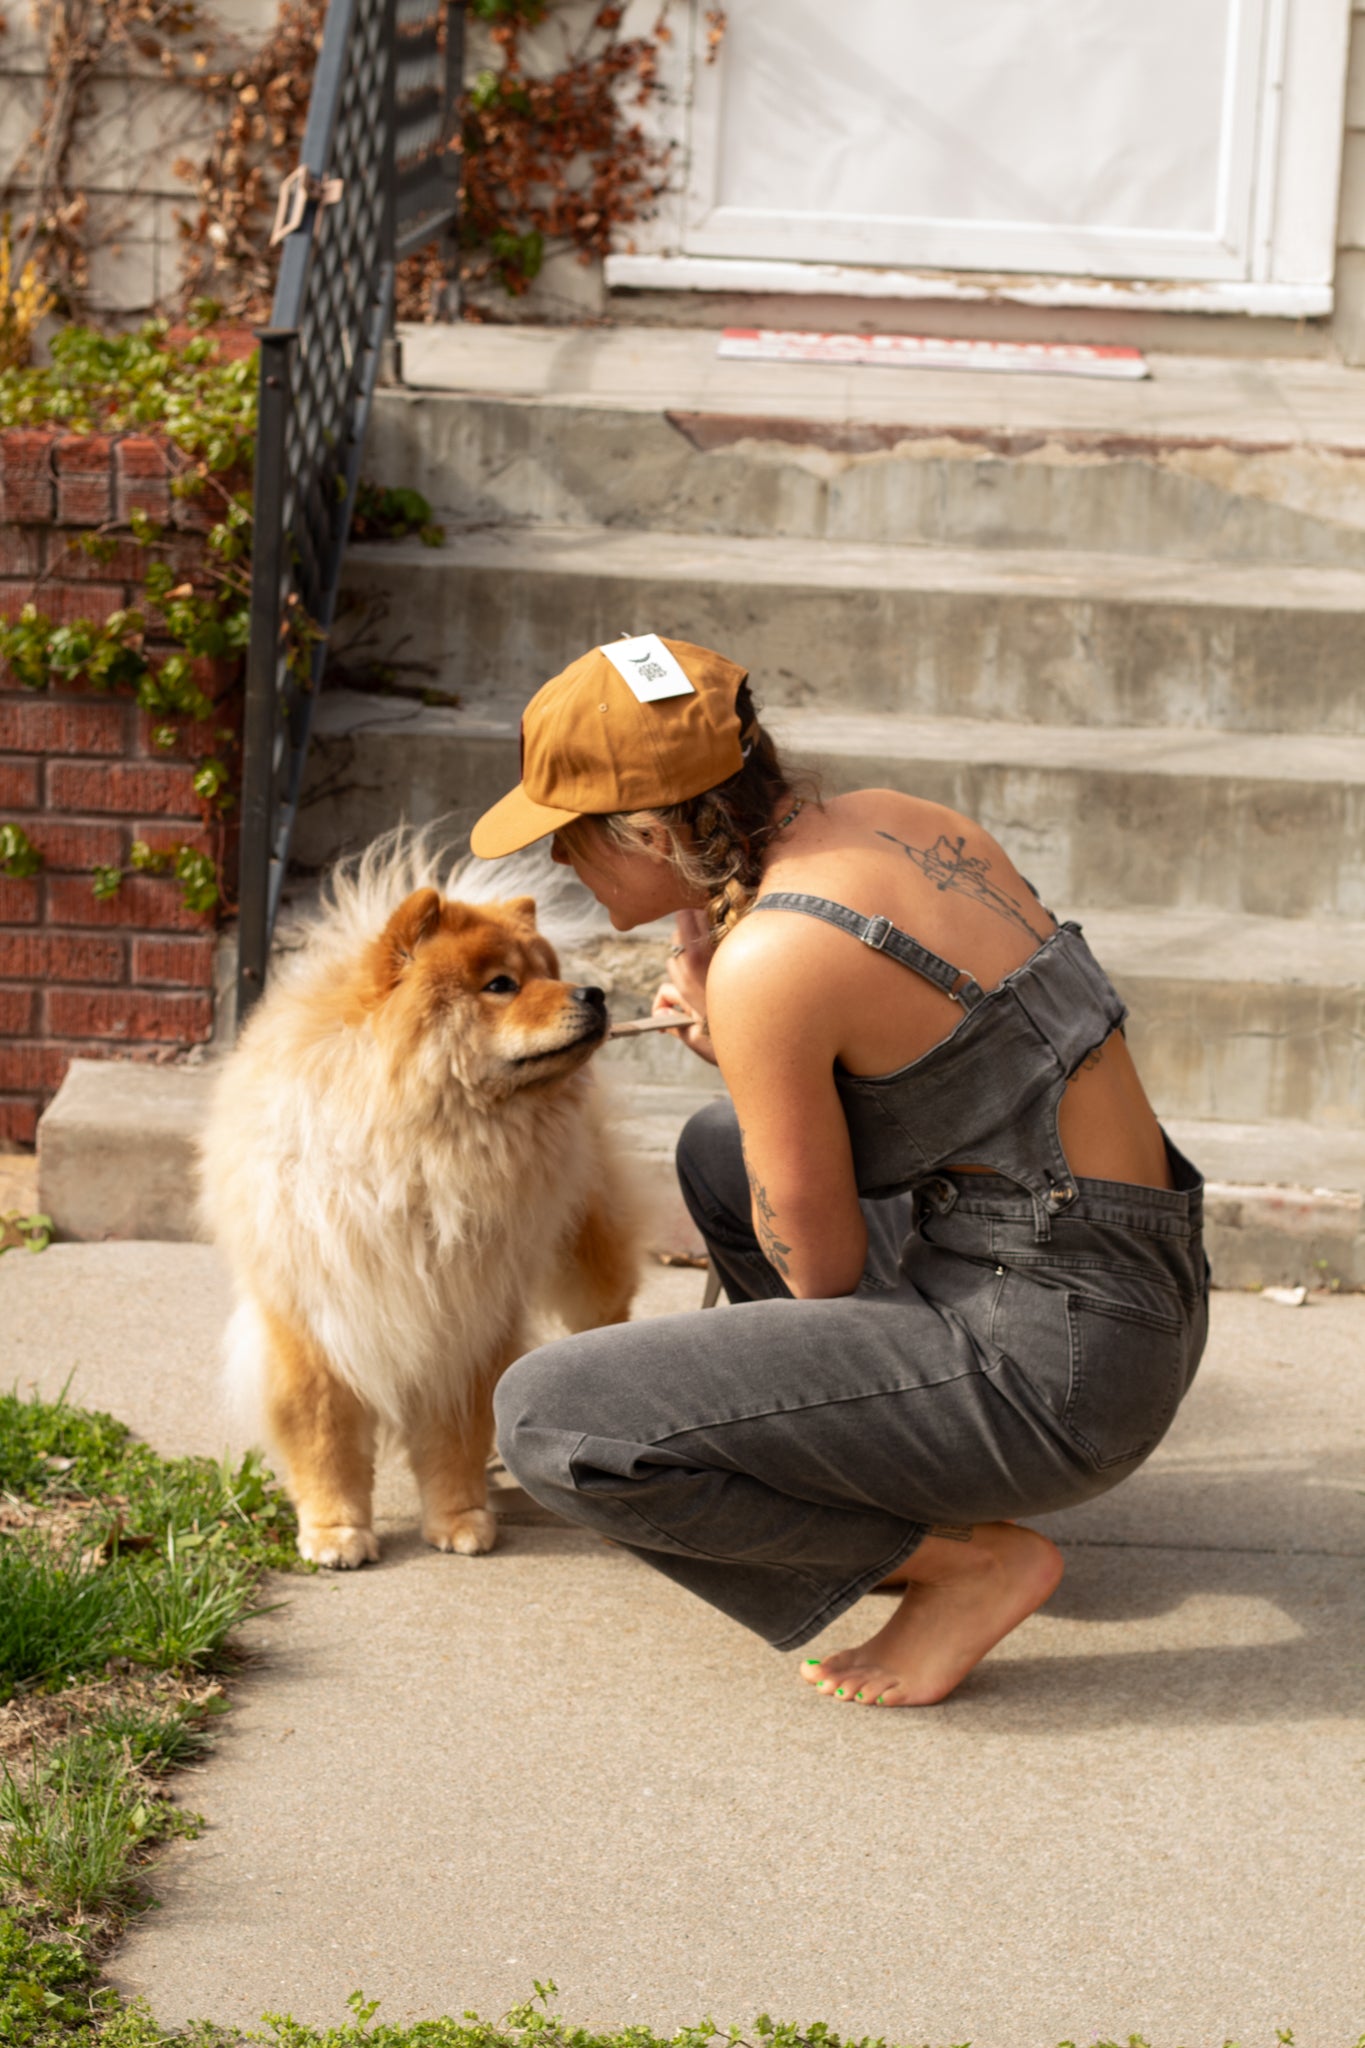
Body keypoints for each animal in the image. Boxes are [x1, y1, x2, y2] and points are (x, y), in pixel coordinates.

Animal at [200, 839, 642, 1556]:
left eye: (548, 971)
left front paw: (460, 1521)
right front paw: (336, 1530)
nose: (594, 992)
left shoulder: (466, 1321)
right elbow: (324, 1435)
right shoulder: (311, 1319)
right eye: (501, 985)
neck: (424, 1152)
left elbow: (453, 1437)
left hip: (588, 1264)